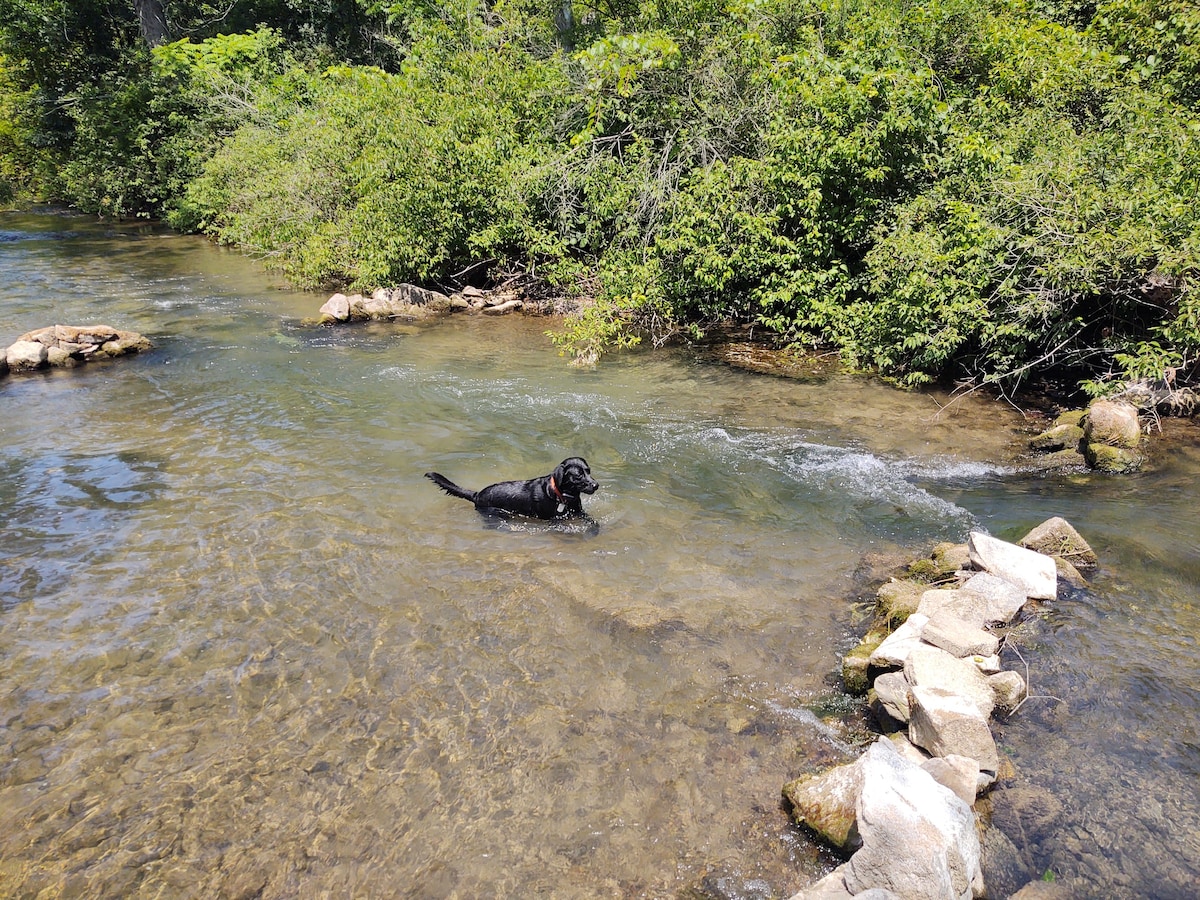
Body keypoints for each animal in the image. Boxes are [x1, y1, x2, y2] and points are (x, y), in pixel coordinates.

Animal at [429, 458, 600, 520]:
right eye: (578, 475)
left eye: (589, 471)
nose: (596, 485)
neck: (561, 496)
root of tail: (477, 494)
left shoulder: (579, 511)